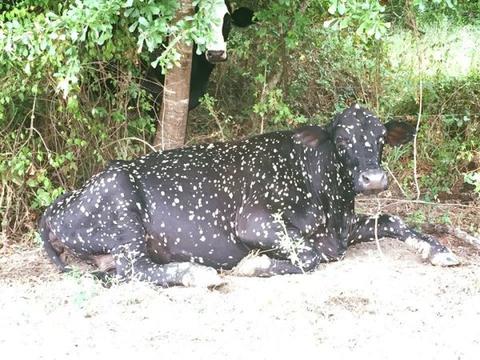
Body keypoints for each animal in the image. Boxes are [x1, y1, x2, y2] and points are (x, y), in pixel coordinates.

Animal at [39, 104, 460, 286]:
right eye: (341, 140)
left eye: (381, 138)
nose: (373, 179)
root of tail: (56, 205)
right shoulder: (253, 221)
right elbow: (308, 255)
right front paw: (253, 266)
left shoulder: (342, 229)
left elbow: (393, 219)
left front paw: (438, 250)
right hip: (123, 206)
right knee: (135, 269)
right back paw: (195, 273)